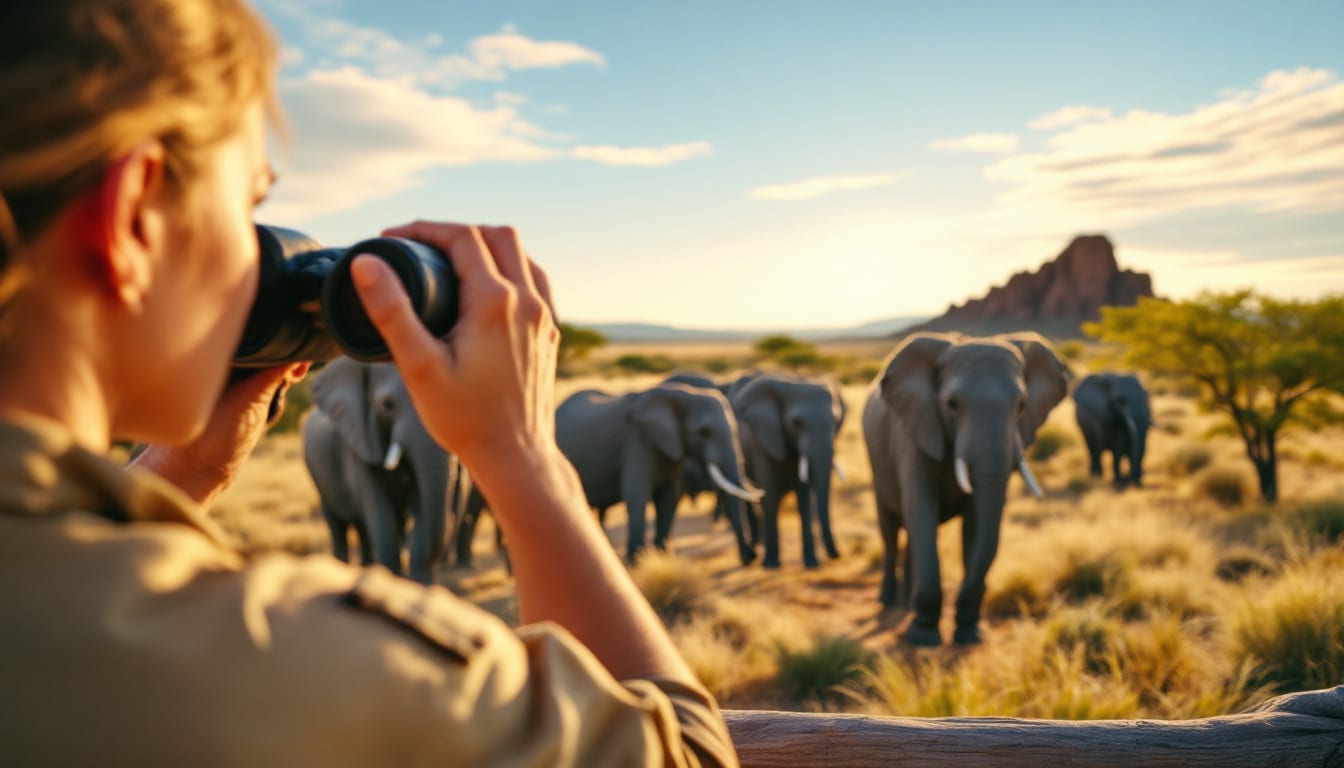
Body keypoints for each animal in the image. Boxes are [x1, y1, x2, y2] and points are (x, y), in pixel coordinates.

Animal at [301, 357, 462, 586]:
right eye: (387, 405)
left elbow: (421, 504)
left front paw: (420, 583)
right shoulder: (359, 442)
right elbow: (379, 511)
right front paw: (393, 580)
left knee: (363, 528)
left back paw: (367, 568)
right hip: (318, 478)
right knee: (338, 525)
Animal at [556, 381, 763, 564]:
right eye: (703, 432)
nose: (751, 557)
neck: (683, 395)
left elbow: (668, 499)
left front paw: (661, 557)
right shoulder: (637, 441)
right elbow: (637, 497)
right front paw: (636, 562)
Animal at [731, 376, 844, 567]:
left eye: (835, 421)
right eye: (796, 423)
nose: (836, 555)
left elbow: (804, 497)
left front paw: (812, 564)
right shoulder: (762, 441)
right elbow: (769, 494)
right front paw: (771, 565)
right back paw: (757, 547)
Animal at [860, 333, 1069, 645]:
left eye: (1021, 406)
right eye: (952, 404)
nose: (964, 614)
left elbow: (977, 523)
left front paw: (969, 634)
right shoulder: (913, 432)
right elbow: (921, 509)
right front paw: (922, 637)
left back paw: (908, 603)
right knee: (890, 530)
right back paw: (888, 601)